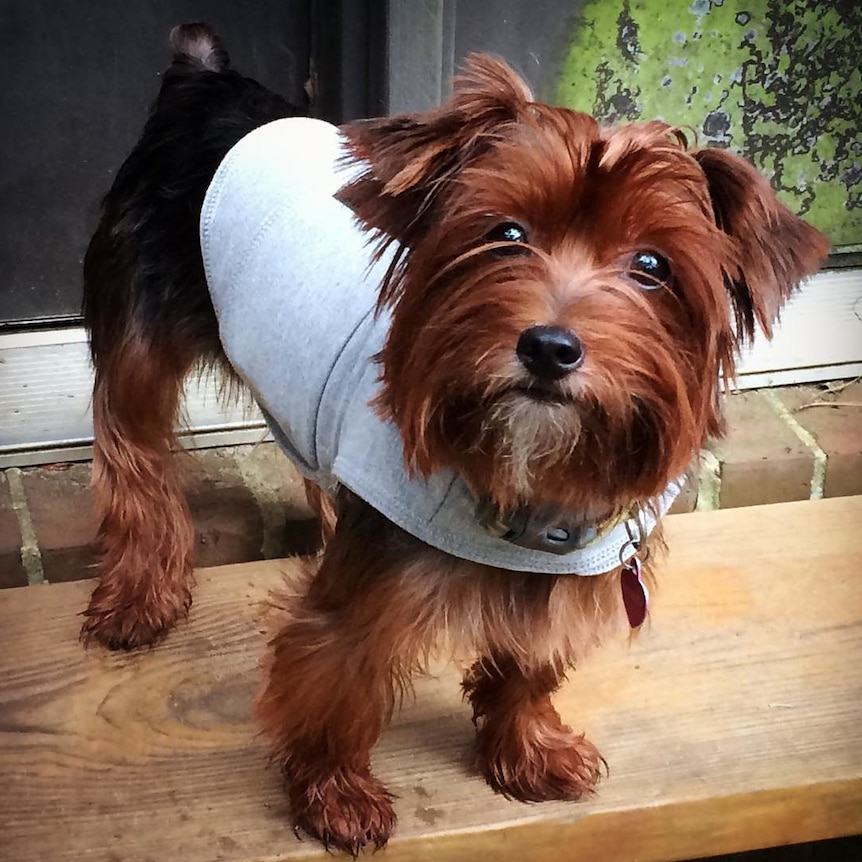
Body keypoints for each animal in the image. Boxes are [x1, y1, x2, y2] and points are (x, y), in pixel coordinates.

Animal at [81, 22, 832, 856]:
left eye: (651, 266)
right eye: (504, 233)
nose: (550, 347)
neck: (529, 483)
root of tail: (204, 80)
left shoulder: (573, 576)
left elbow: (530, 664)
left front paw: (526, 747)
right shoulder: (362, 592)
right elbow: (336, 675)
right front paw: (335, 794)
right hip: (138, 329)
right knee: (132, 452)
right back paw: (141, 593)